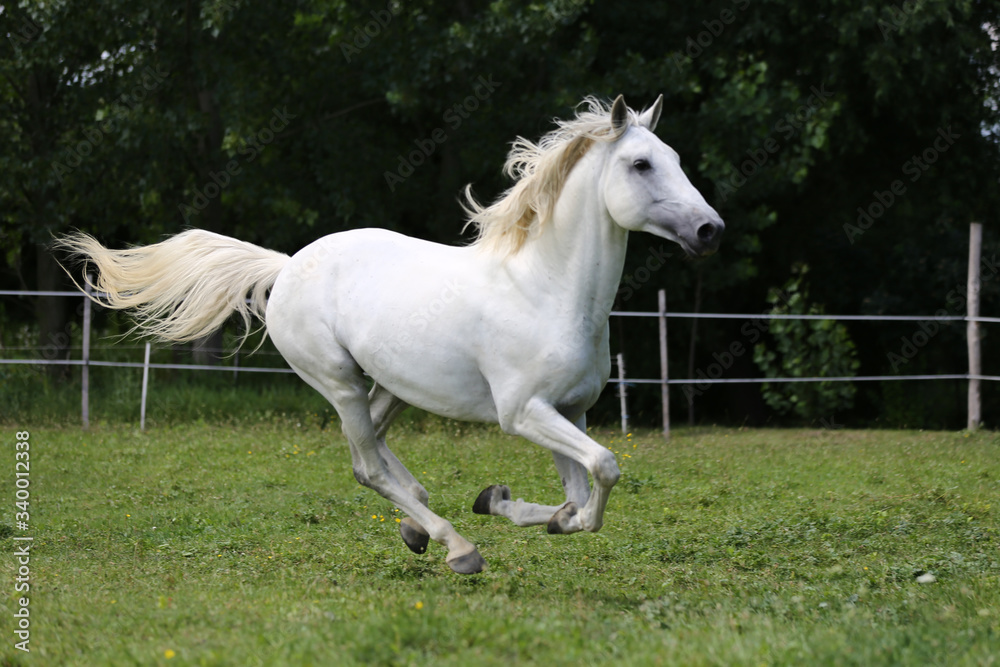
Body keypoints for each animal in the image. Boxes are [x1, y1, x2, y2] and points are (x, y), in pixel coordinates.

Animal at [57, 95, 724, 574]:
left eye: (676, 159)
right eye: (641, 164)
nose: (710, 230)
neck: (545, 290)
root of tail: (287, 265)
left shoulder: (571, 413)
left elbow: (583, 502)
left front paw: (506, 502)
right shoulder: (524, 412)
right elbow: (605, 471)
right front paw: (502, 509)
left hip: (392, 386)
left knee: (372, 447)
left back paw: (419, 526)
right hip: (340, 382)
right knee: (367, 466)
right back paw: (457, 547)